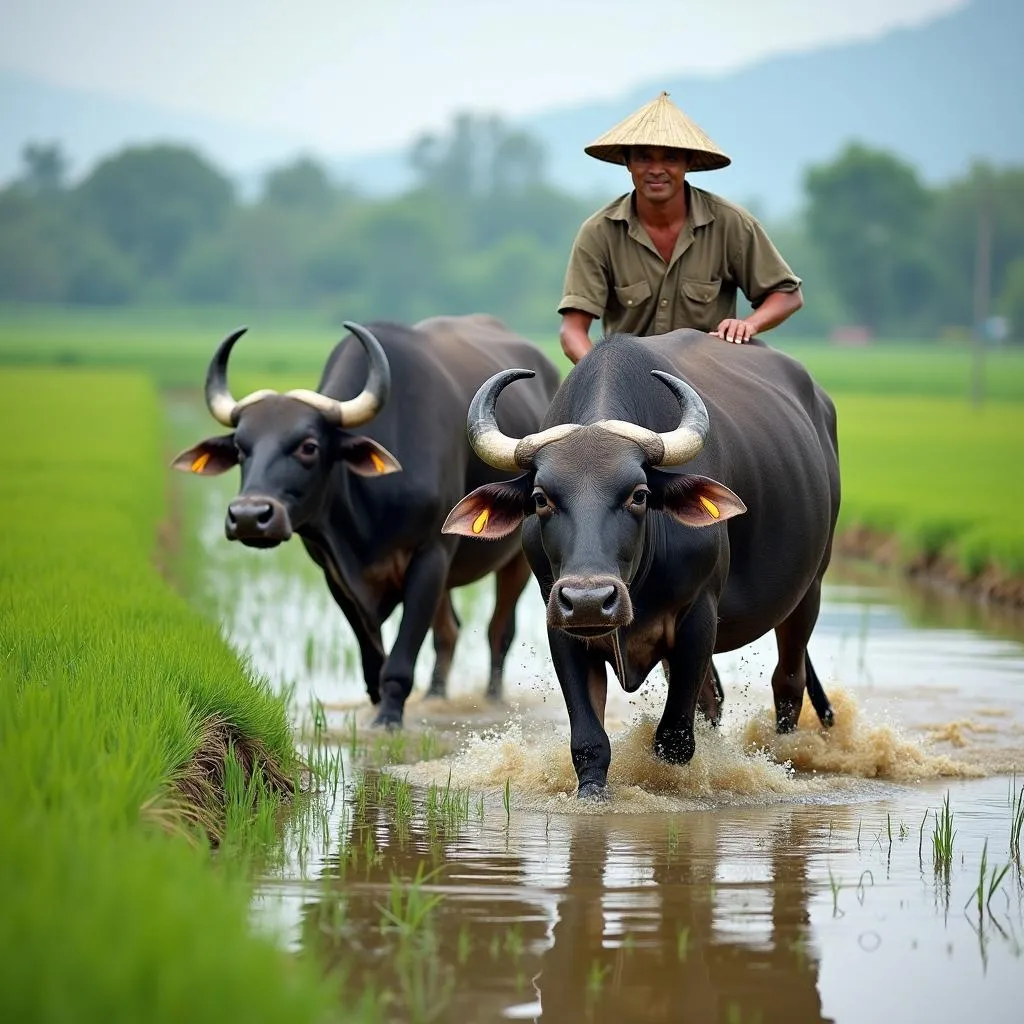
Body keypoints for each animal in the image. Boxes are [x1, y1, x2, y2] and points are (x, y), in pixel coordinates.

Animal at [174, 315, 561, 724]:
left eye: (309, 446)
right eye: (239, 448)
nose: (249, 516)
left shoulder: (430, 556)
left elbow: (404, 649)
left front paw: (389, 716)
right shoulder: (336, 573)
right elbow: (372, 653)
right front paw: (377, 703)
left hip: (515, 562)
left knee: (497, 630)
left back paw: (491, 698)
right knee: (449, 632)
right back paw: (435, 696)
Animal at [446, 331, 839, 794]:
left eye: (639, 494)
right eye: (541, 498)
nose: (589, 601)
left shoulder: (698, 615)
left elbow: (673, 739)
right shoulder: (559, 622)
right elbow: (589, 739)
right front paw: (592, 792)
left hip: (810, 591)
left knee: (788, 682)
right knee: (714, 700)